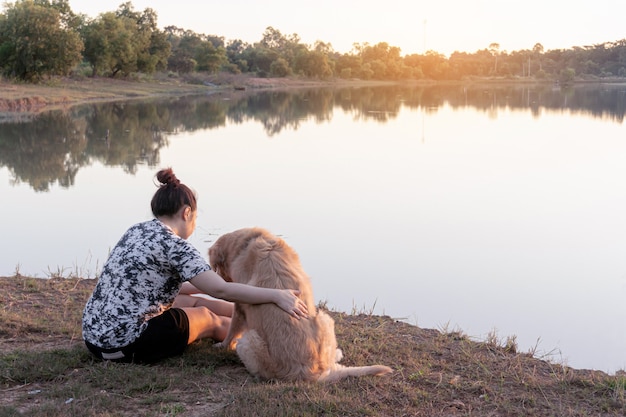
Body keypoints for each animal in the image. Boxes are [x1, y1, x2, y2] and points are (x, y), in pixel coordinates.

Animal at [208, 228, 390, 380]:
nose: (222, 279)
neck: (247, 243)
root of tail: (311, 373)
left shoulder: (239, 306)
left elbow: (232, 330)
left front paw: (222, 345)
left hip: (248, 340)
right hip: (324, 318)